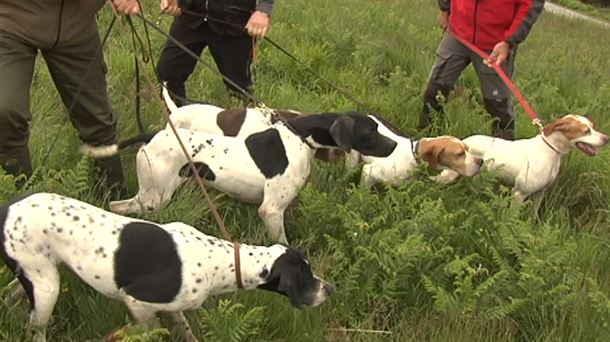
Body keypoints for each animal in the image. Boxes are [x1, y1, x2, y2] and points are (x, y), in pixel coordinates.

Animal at [0, 192, 332, 342]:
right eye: (305, 280)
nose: (330, 288)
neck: (221, 261)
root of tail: (9, 207)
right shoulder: (138, 303)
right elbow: (151, 332)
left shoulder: (174, 308)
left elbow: (186, 331)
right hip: (47, 289)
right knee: (35, 329)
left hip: (37, 274)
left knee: (11, 293)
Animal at [88, 109, 396, 243]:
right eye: (370, 131)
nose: (394, 144)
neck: (301, 138)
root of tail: (151, 135)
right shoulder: (271, 210)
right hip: (154, 197)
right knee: (119, 207)